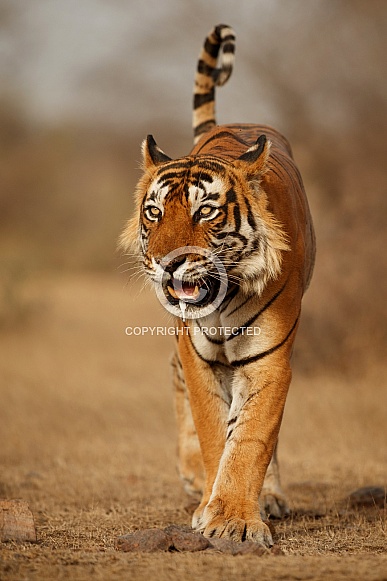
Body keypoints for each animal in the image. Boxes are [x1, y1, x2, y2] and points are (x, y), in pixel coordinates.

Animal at [120, 23, 316, 548]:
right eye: (154, 212)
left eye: (205, 211)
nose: (166, 264)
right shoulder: (197, 355)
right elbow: (213, 430)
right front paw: (213, 502)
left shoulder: (270, 358)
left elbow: (250, 437)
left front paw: (234, 519)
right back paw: (193, 478)